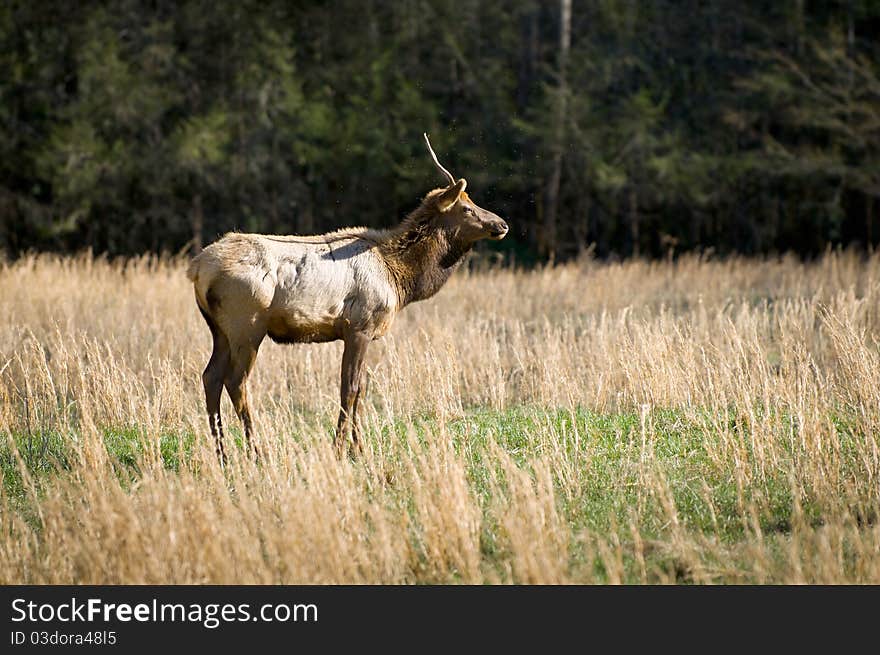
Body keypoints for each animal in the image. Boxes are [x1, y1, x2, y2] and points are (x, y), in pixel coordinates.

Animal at [191, 133, 508, 462]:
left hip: (220, 330)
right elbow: (351, 388)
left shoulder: (360, 333)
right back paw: (257, 452)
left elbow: (362, 389)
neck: (399, 278)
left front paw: (360, 448)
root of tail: (197, 268)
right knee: (236, 381)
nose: (502, 224)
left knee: (210, 377)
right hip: (247, 324)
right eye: (467, 208)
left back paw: (222, 454)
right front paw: (339, 448)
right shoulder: (359, 327)